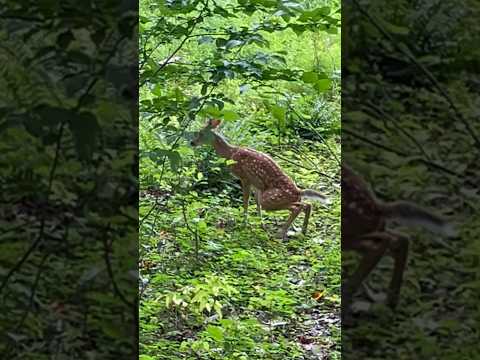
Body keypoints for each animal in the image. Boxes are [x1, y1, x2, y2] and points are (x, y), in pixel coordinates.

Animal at [190, 119, 330, 240]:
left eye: (200, 133)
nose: (192, 143)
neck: (230, 153)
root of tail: (298, 192)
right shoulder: (256, 184)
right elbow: (256, 204)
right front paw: (261, 225)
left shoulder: (244, 177)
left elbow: (246, 201)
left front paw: (244, 224)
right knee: (307, 205)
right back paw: (302, 231)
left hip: (271, 198)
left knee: (299, 207)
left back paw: (280, 233)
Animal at [342, 162, 458, 324]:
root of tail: (378, 208)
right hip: (368, 229)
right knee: (400, 238)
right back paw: (390, 302)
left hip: (351, 231)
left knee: (383, 242)